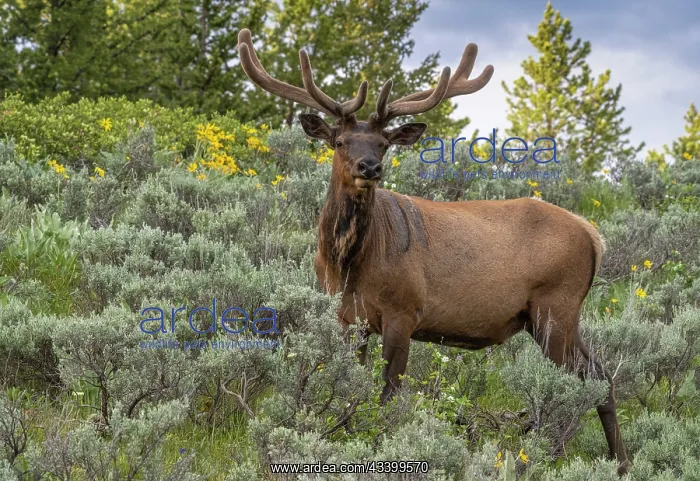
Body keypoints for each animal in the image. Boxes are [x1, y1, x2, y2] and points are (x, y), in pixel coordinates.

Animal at [237, 28, 629, 475]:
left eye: (384, 143)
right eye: (339, 141)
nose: (369, 167)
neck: (347, 265)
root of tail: (593, 235)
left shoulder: (404, 310)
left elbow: (389, 394)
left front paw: (381, 446)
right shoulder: (346, 317)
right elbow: (352, 387)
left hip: (556, 306)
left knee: (580, 382)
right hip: (554, 315)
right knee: (600, 376)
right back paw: (618, 463)